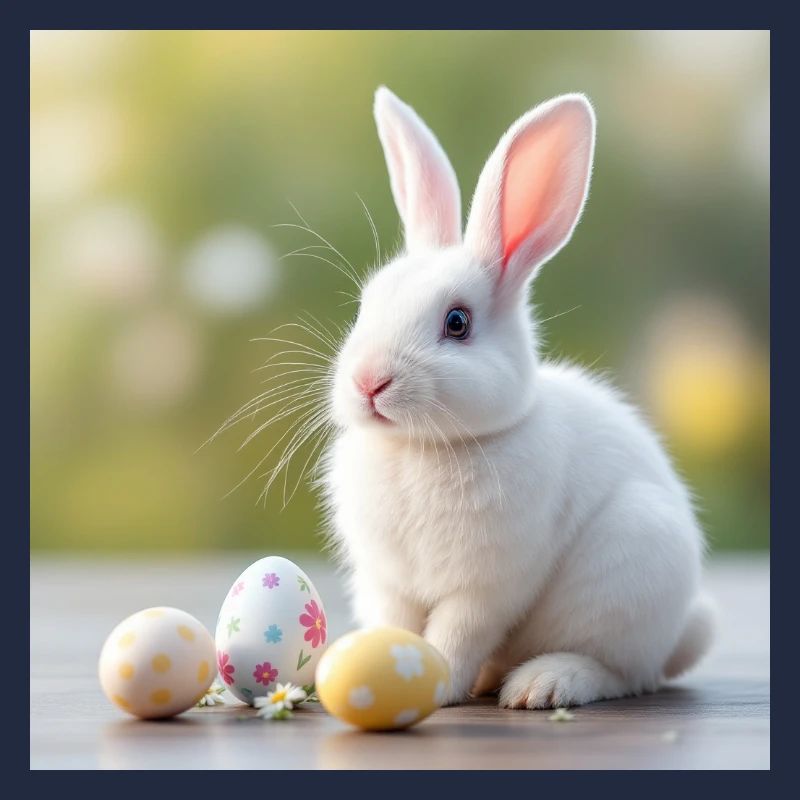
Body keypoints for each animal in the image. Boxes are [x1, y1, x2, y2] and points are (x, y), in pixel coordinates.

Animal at [321, 86, 715, 708]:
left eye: (457, 323)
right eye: (366, 305)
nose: (368, 382)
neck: (420, 448)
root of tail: (681, 630)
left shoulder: (486, 588)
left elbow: (456, 635)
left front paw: (438, 683)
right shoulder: (388, 582)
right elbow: (396, 624)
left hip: (628, 572)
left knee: (624, 672)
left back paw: (543, 685)